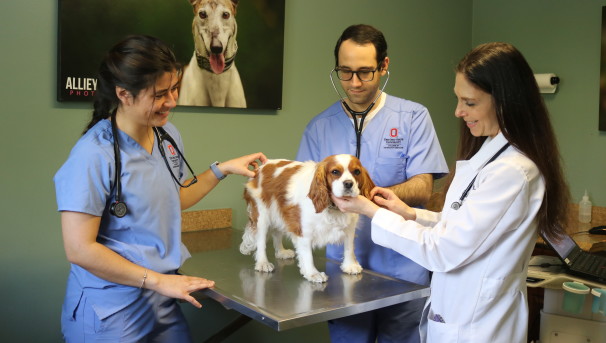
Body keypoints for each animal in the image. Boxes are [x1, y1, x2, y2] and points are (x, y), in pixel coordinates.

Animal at [241, 155, 376, 284]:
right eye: (335, 171)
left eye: (357, 171)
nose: (348, 183)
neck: (332, 207)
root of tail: (261, 167)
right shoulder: (304, 231)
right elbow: (308, 255)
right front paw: (313, 274)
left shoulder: (349, 228)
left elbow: (349, 247)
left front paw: (350, 265)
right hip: (262, 215)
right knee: (261, 240)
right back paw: (262, 263)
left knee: (277, 233)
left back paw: (281, 252)